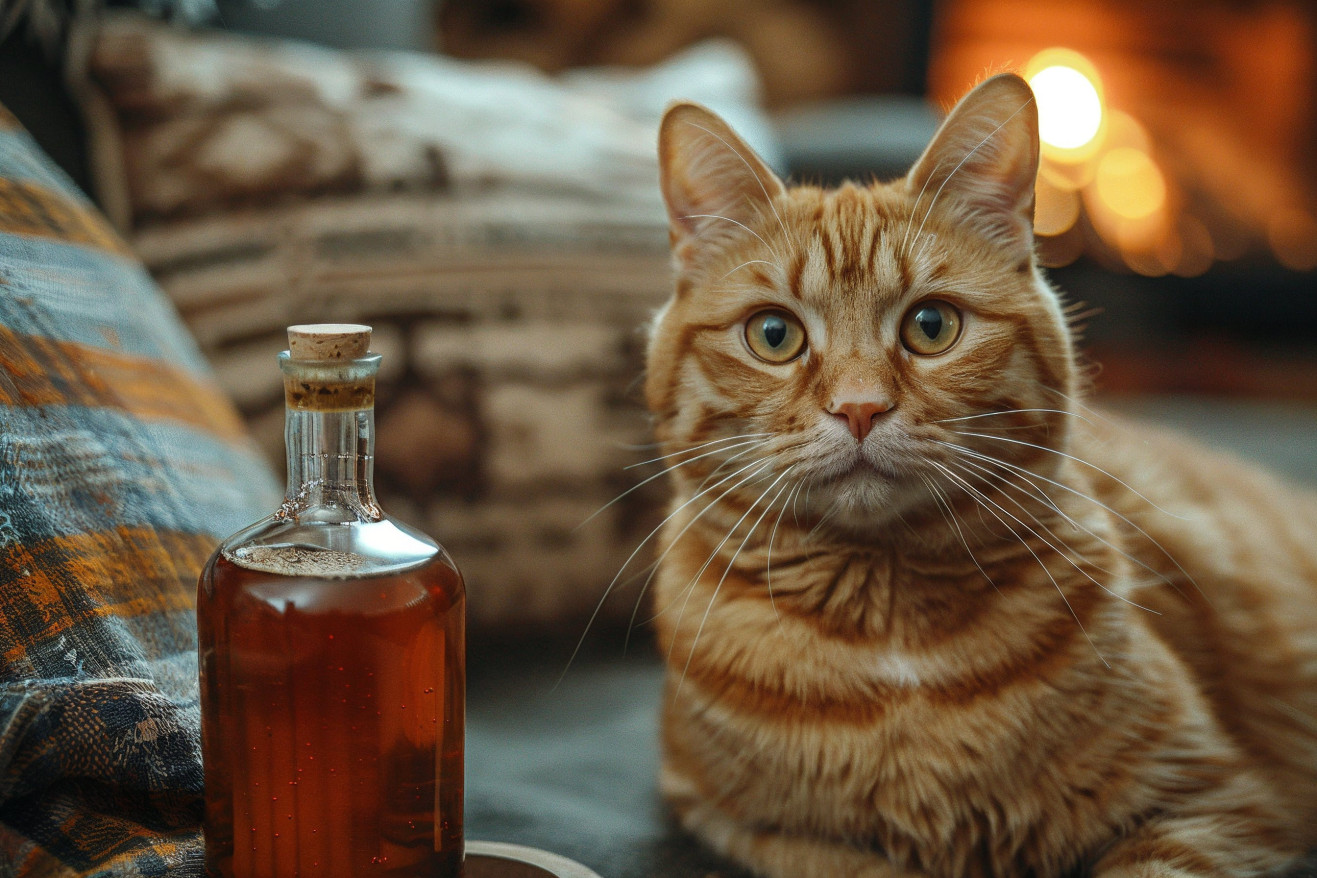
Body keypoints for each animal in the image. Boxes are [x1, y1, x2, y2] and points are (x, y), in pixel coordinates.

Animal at [645, 73, 1317, 878]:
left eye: (931, 326)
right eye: (773, 335)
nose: (859, 407)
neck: (887, 617)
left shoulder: (1215, 804)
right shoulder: (747, 825)